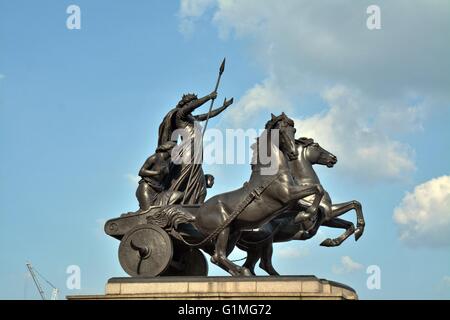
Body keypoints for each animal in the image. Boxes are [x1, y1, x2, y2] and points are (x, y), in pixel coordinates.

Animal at [169, 113, 324, 276]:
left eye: (293, 130)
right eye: (281, 131)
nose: (294, 154)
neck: (272, 175)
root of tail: (195, 215)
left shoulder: (291, 203)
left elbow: (320, 206)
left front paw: (307, 221)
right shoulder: (288, 196)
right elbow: (318, 189)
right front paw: (304, 217)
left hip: (234, 232)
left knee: (216, 257)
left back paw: (241, 272)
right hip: (224, 230)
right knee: (219, 255)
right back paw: (243, 271)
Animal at [236, 138, 366, 276]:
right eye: (316, 145)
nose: (333, 158)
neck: (306, 184)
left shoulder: (328, 218)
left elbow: (349, 221)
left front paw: (331, 241)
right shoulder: (328, 212)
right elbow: (352, 205)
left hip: (258, 246)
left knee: (252, 266)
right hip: (263, 241)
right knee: (261, 265)